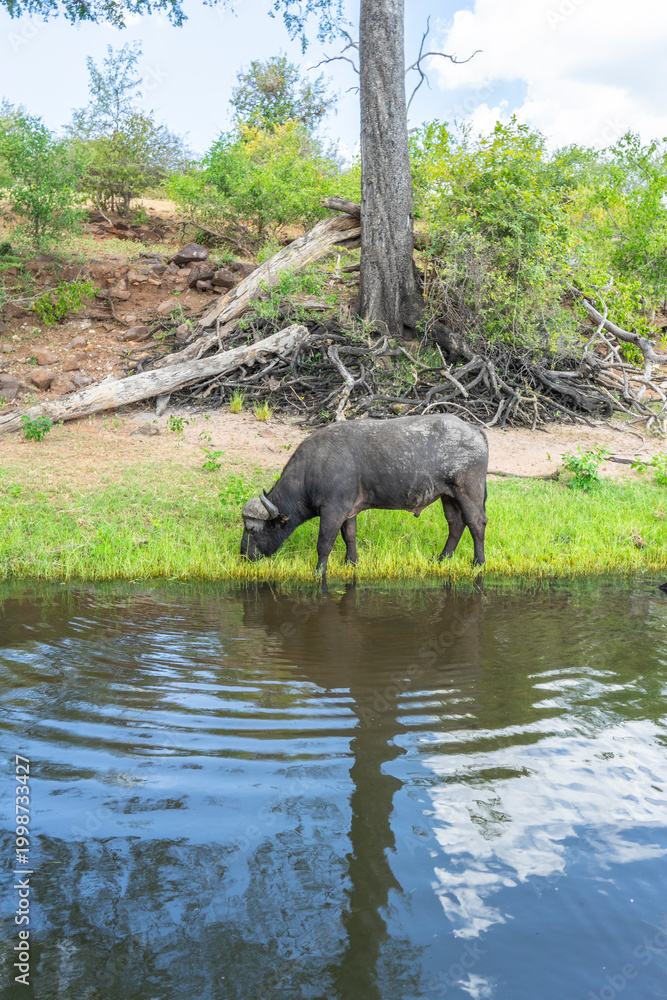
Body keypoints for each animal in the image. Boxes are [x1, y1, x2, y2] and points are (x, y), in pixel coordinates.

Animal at [241, 413, 488, 576]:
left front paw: (319, 571)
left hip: (468, 492)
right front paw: (351, 562)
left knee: (476, 523)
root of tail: (474, 430)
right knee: (456, 524)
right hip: (448, 496)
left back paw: (478, 562)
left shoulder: (332, 510)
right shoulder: (348, 511)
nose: (243, 555)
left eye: (251, 529)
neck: (314, 467)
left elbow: (324, 543)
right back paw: (443, 557)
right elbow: (349, 536)